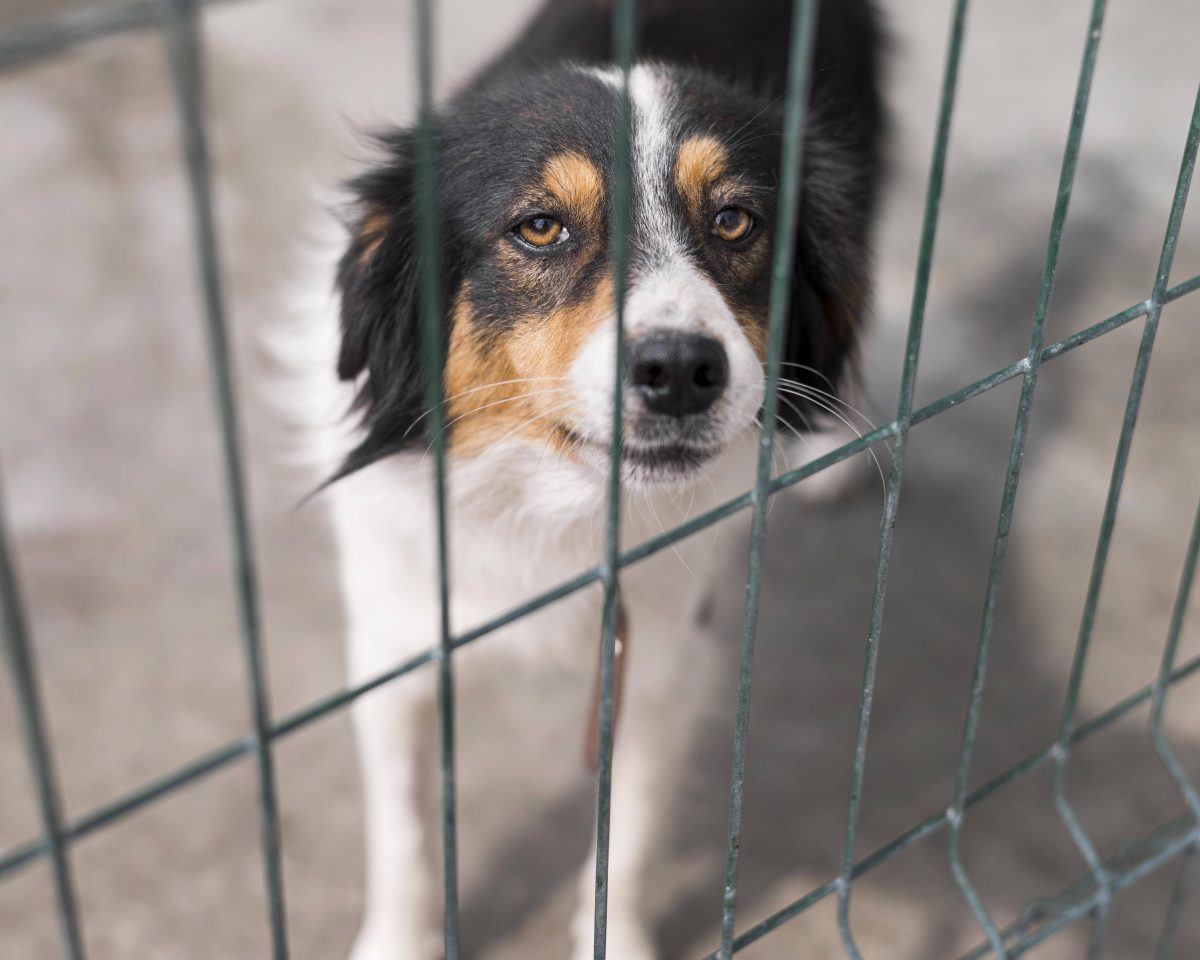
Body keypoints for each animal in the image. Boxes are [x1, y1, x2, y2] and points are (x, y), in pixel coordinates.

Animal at [290, 0, 888, 955]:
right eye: (540, 227)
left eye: (735, 221)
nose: (680, 371)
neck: (554, 498)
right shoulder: (394, 637)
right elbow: (406, 827)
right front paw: (399, 940)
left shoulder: (662, 655)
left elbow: (630, 830)